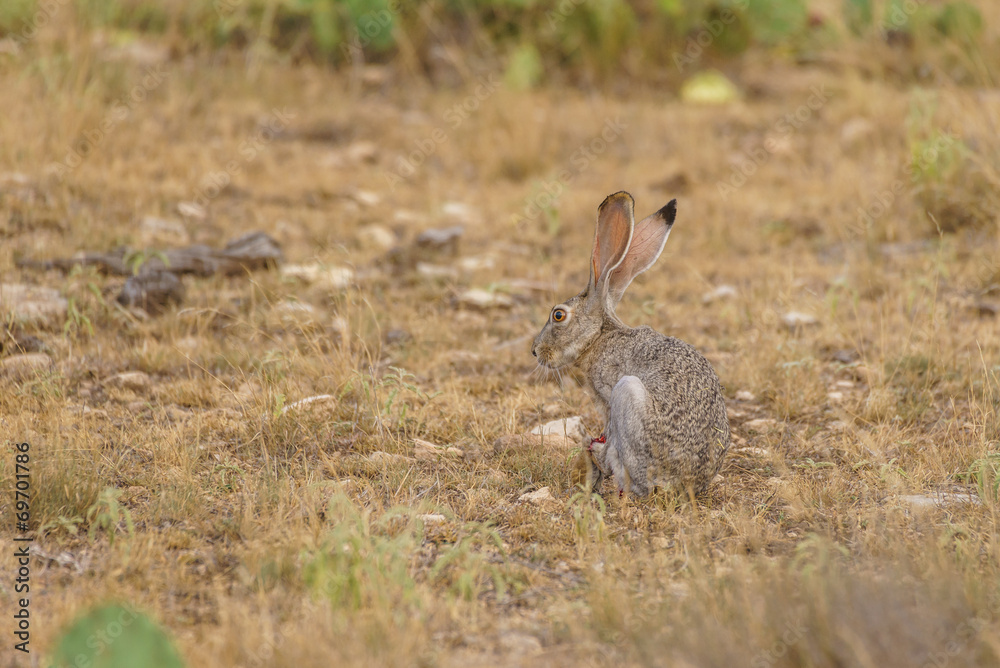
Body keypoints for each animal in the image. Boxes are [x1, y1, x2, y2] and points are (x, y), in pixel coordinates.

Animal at [531, 191, 730, 497]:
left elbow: (610, 431)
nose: (535, 351)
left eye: (558, 315)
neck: (599, 337)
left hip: (628, 393)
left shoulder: (608, 395)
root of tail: (683, 482)